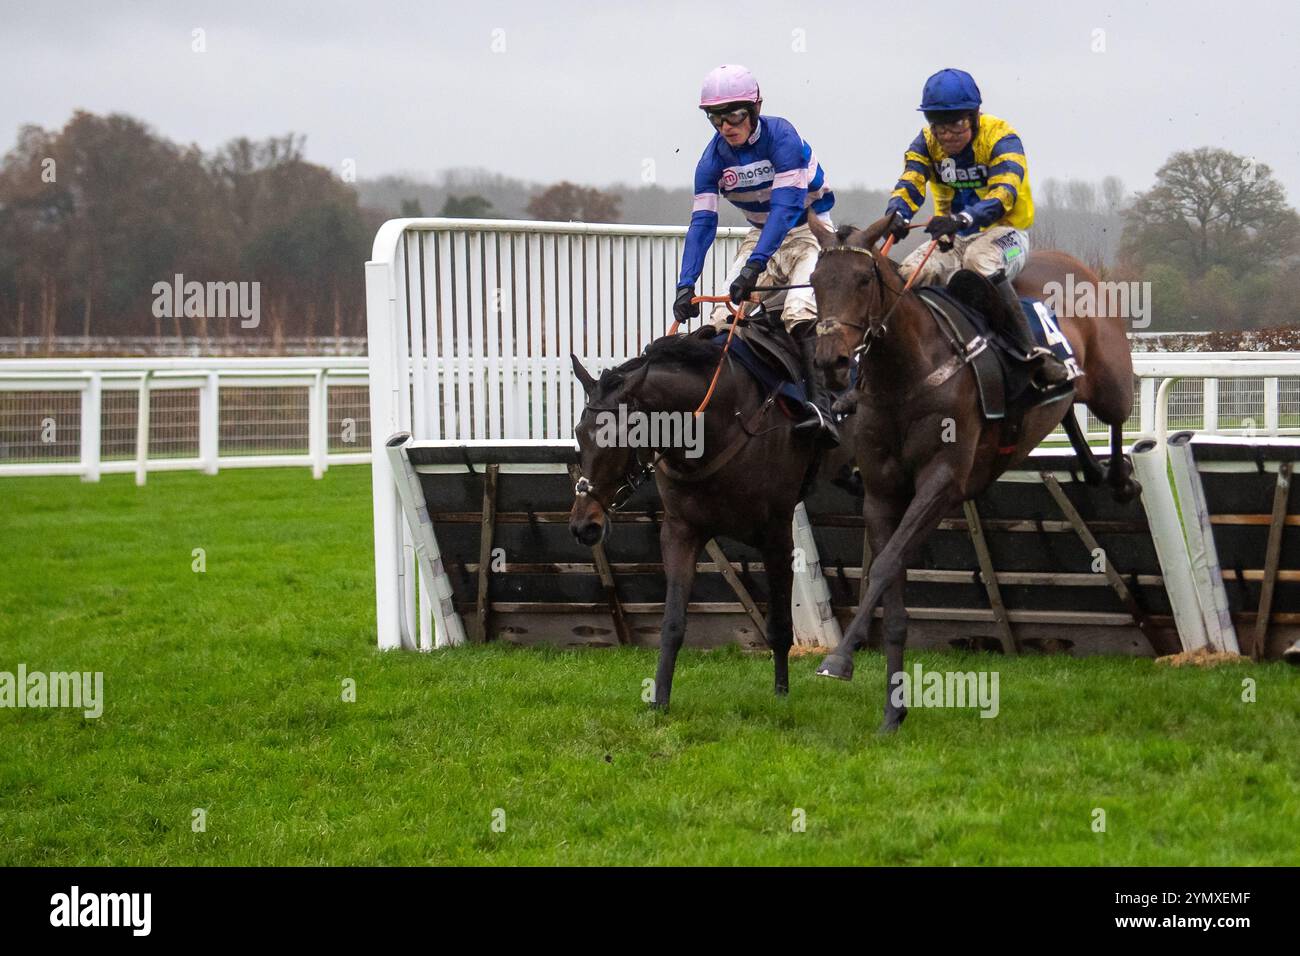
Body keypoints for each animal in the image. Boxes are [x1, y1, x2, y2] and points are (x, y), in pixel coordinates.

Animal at [566, 335, 811, 712]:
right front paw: (659, 702)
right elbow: (672, 623)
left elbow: (781, 624)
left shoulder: (777, 532)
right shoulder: (680, 530)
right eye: (580, 432)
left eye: (623, 435)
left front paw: (782, 694)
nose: (584, 524)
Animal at [800, 213, 1138, 728]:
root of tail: (1072, 261)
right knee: (1068, 416)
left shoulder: (942, 482)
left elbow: (885, 567)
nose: (830, 362)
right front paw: (892, 711)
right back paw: (1094, 468)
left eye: (862, 279)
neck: (906, 376)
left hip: (1109, 382)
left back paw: (1119, 477)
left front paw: (837, 660)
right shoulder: (882, 492)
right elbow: (889, 582)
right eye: (817, 281)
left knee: (1117, 417)